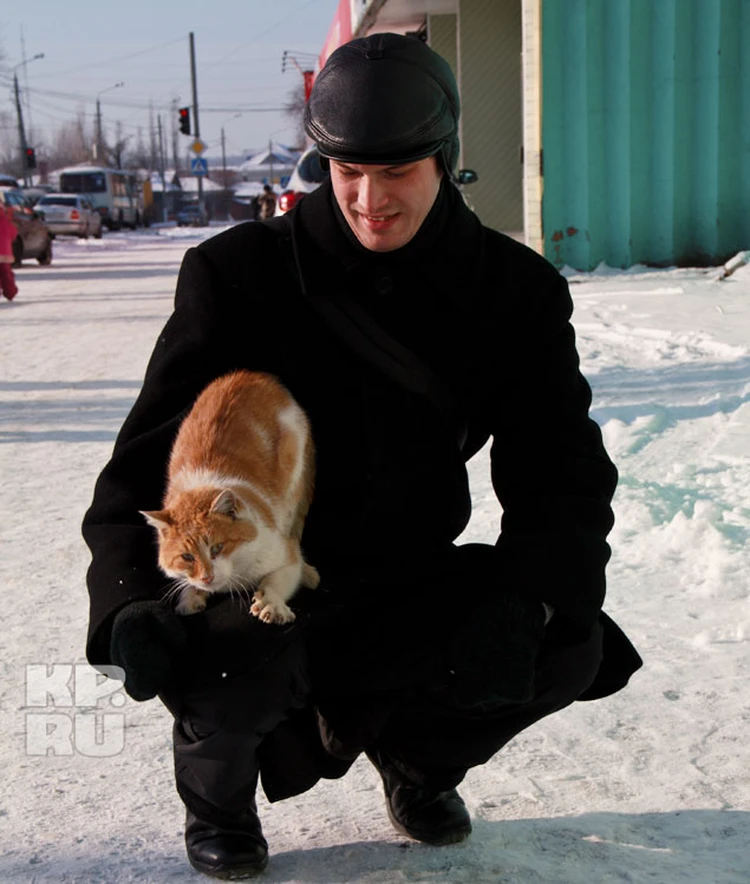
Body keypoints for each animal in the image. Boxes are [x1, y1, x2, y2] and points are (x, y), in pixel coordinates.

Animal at [142, 370, 320, 624]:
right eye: (187, 556)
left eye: (217, 548)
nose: (206, 577)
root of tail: (251, 374)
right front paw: (190, 597)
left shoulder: (283, 551)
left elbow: (279, 578)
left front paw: (271, 603)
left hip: (294, 471)